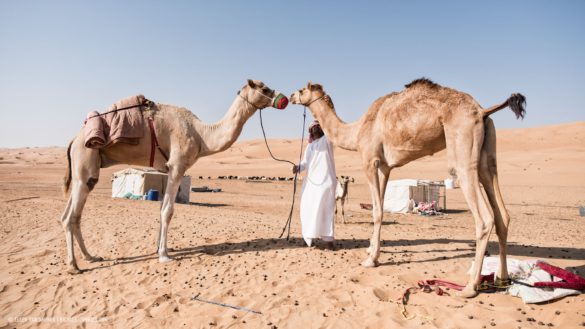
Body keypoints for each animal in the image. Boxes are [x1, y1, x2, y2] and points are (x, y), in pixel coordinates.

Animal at [60, 80, 288, 274]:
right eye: (264, 88)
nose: (284, 98)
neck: (201, 134)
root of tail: (73, 140)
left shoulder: (167, 170)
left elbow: (162, 208)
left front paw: (159, 249)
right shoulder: (177, 166)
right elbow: (168, 211)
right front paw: (164, 255)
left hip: (86, 169)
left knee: (70, 216)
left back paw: (90, 257)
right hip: (85, 160)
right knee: (72, 216)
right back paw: (73, 266)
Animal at [290, 79, 524, 298]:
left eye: (302, 90)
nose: (291, 96)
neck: (356, 131)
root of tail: (482, 111)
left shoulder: (370, 161)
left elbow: (377, 211)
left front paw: (371, 259)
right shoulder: (384, 167)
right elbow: (381, 207)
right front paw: (371, 250)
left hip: (463, 151)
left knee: (484, 218)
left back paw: (470, 287)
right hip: (487, 154)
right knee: (502, 214)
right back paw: (502, 278)